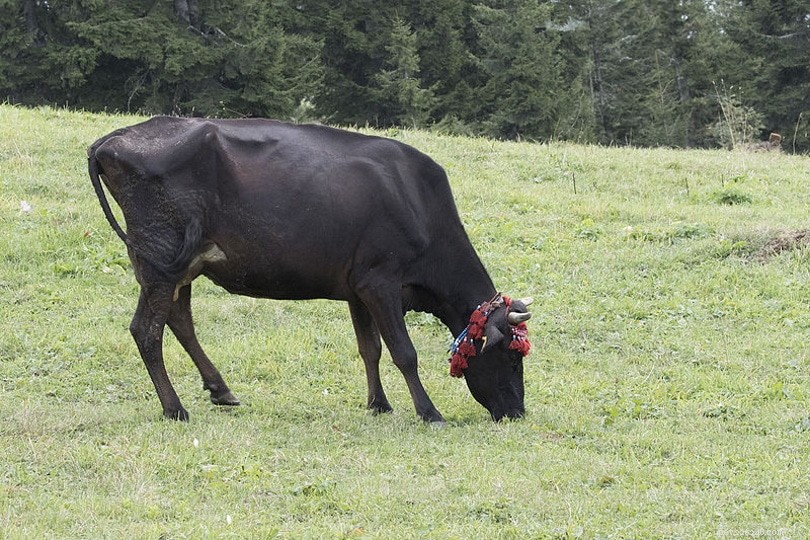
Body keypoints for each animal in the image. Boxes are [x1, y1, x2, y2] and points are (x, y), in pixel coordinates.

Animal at [87, 117, 533, 423]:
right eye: (512, 357)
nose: (517, 412)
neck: (419, 204)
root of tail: (112, 140)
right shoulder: (381, 280)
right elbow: (404, 352)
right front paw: (429, 412)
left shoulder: (358, 286)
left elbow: (370, 348)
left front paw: (379, 404)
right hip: (160, 256)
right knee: (147, 330)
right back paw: (175, 408)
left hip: (179, 263)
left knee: (178, 321)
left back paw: (221, 390)